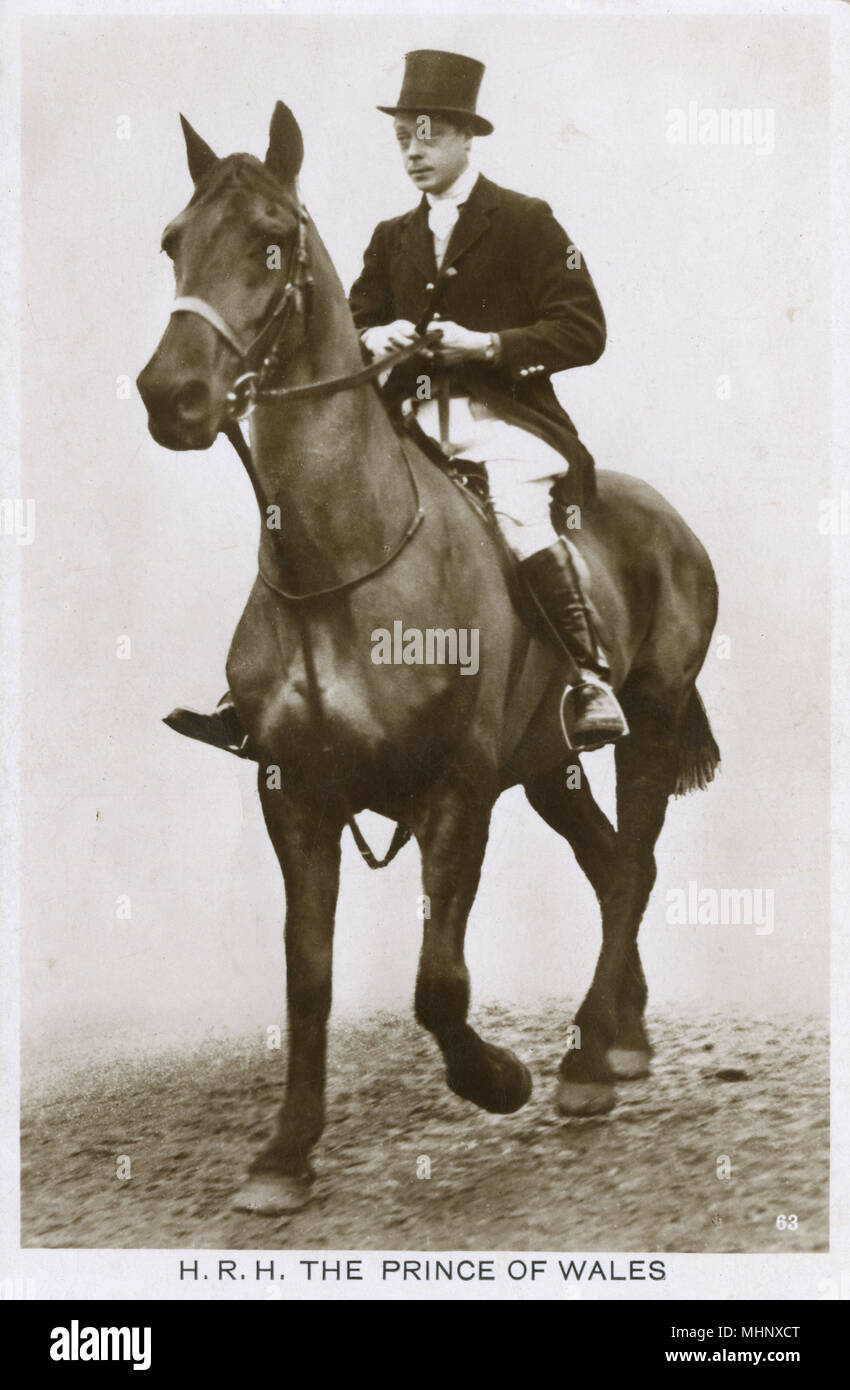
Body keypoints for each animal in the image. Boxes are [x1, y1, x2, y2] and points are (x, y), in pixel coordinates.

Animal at [137, 105, 716, 1217]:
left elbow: (438, 983)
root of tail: (664, 515)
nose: (167, 395)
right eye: (173, 243)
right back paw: (619, 1037)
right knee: (608, 860)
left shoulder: (458, 789)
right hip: (547, 765)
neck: (340, 562)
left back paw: (587, 1061)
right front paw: (285, 1154)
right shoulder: (294, 794)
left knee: (633, 862)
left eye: (269, 242)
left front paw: (499, 1079)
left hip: (649, 723)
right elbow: (307, 978)